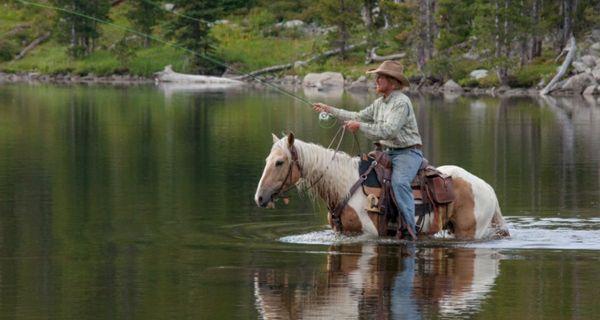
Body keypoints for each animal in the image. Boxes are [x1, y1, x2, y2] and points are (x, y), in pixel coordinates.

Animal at [254, 132, 510, 240]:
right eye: (266, 160)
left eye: (279, 162)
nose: (259, 198)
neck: (345, 186)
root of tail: (489, 189)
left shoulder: (369, 233)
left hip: (469, 231)